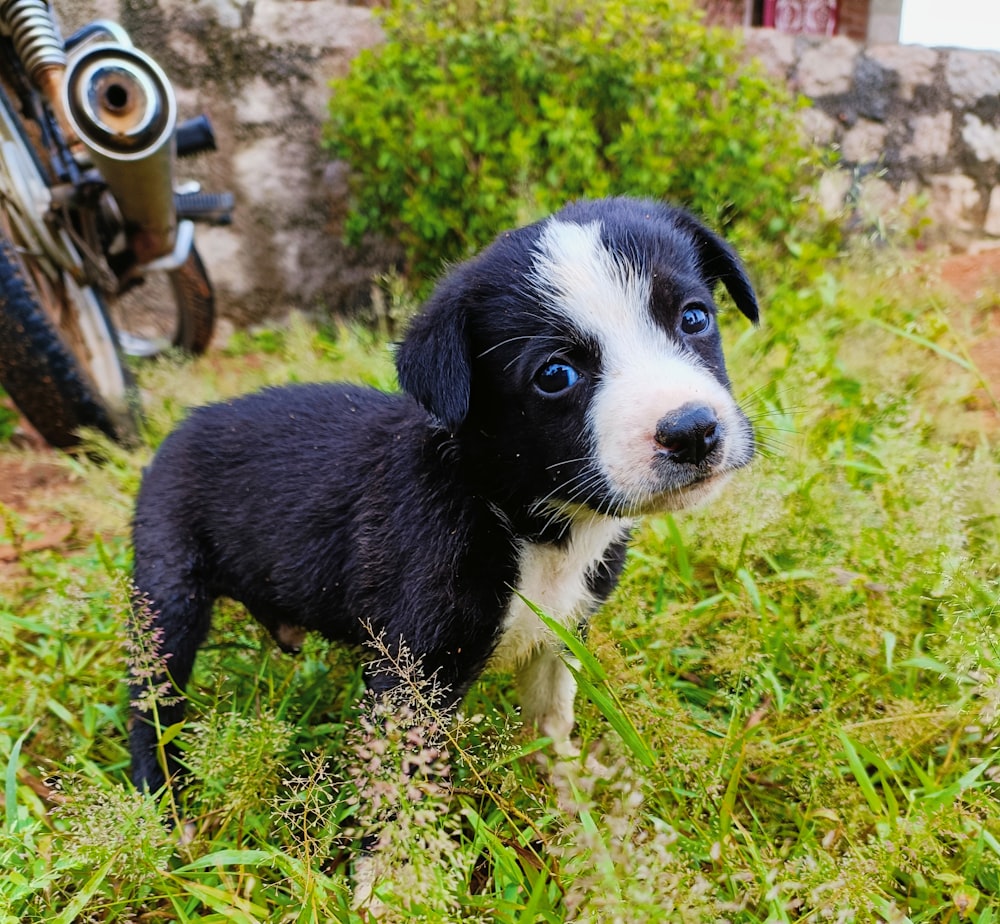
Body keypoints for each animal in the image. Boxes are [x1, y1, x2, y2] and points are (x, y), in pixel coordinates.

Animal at [127, 197, 756, 796]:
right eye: (555, 375)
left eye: (694, 317)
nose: (692, 431)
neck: (519, 515)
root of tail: (176, 431)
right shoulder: (412, 675)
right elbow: (400, 793)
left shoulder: (562, 629)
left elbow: (552, 718)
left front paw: (570, 793)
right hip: (167, 597)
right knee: (151, 705)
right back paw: (162, 797)